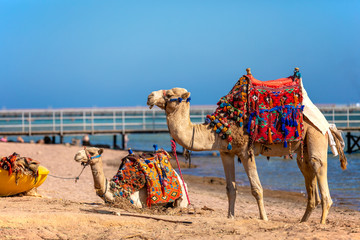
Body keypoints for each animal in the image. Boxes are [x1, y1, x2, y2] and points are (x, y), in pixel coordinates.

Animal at [148, 70, 348, 224]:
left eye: (169, 94)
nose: (150, 96)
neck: (220, 128)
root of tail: (327, 123)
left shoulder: (246, 151)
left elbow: (256, 189)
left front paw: (264, 219)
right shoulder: (225, 152)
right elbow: (230, 188)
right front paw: (230, 217)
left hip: (316, 133)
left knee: (318, 166)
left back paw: (321, 222)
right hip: (303, 147)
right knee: (307, 173)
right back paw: (303, 222)